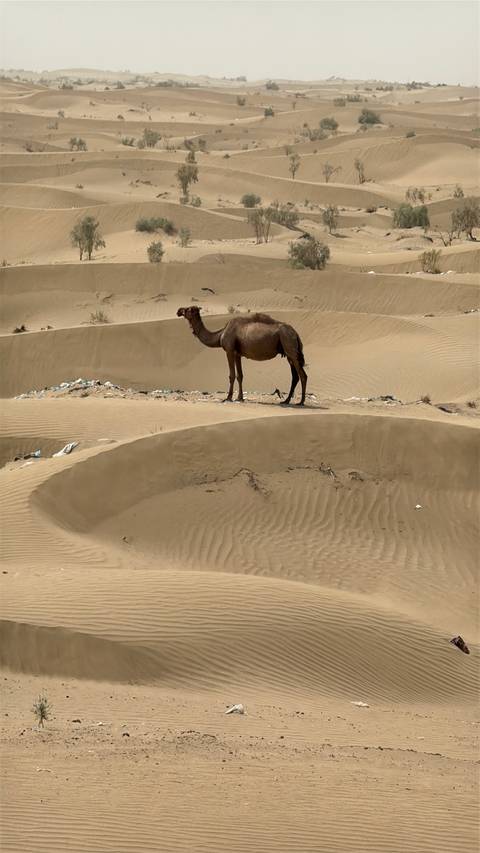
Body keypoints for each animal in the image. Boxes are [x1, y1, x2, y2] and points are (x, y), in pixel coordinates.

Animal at [176, 306, 307, 405]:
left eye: (188, 309)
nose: (178, 311)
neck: (220, 334)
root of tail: (295, 333)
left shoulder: (229, 350)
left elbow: (232, 375)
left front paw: (228, 398)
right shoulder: (237, 354)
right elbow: (240, 376)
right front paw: (240, 397)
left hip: (289, 345)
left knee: (302, 375)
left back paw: (301, 402)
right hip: (289, 352)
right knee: (295, 376)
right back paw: (286, 400)